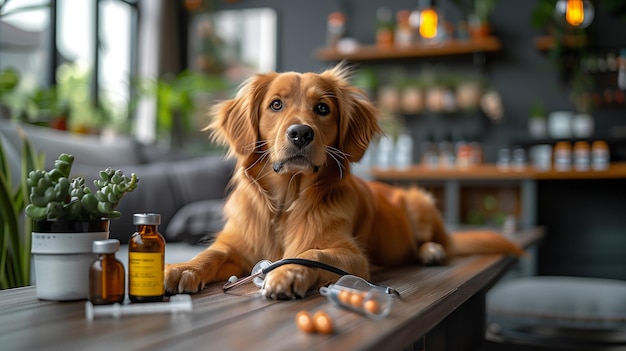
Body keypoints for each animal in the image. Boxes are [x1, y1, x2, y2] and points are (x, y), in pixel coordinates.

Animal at [163, 64, 524, 298]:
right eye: (275, 104)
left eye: (322, 108)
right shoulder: (235, 244)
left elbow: (314, 253)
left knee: (440, 242)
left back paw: (431, 250)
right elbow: (210, 254)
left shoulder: (353, 257)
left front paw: (287, 271)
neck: (285, 204)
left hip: (419, 200)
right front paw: (181, 268)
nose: (301, 133)